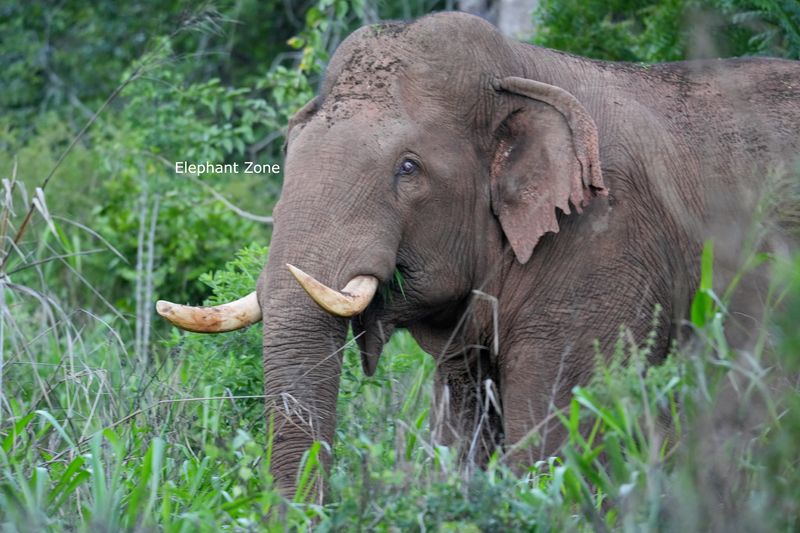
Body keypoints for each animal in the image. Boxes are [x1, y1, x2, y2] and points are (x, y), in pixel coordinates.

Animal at [156, 12, 800, 499]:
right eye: (288, 150)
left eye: (408, 168)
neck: (520, 72)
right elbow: (464, 431)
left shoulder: (607, 241)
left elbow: (555, 436)